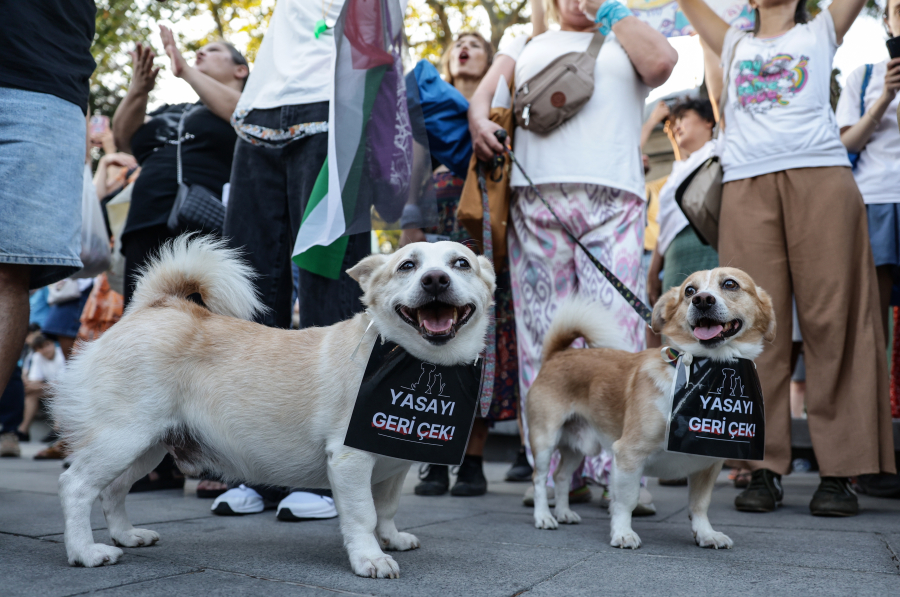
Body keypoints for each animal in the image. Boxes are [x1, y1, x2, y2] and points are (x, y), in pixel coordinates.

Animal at [49, 235, 496, 576]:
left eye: (461, 263)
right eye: (407, 266)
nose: (435, 279)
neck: (410, 359)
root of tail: (155, 306)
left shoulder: (392, 465)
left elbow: (386, 509)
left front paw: (392, 539)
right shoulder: (350, 461)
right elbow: (363, 515)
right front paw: (370, 558)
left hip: (148, 447)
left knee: (112, 490)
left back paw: (127, 535)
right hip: (122, 438)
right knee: (76, 487)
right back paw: (85, 552)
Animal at [528, 270, 772, 548]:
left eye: (730, 284)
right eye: (689, 290)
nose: (701, 300)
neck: (702, 371)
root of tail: (557, 355)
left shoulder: (708, 464)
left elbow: (699, 505)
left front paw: (706, 534)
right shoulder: (628, 455)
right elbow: (626, 500)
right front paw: (622, 532)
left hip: (578, 447)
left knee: (560, 476)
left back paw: (564, 512)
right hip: (545, 439)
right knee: (539, 478)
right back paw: (543, 516)